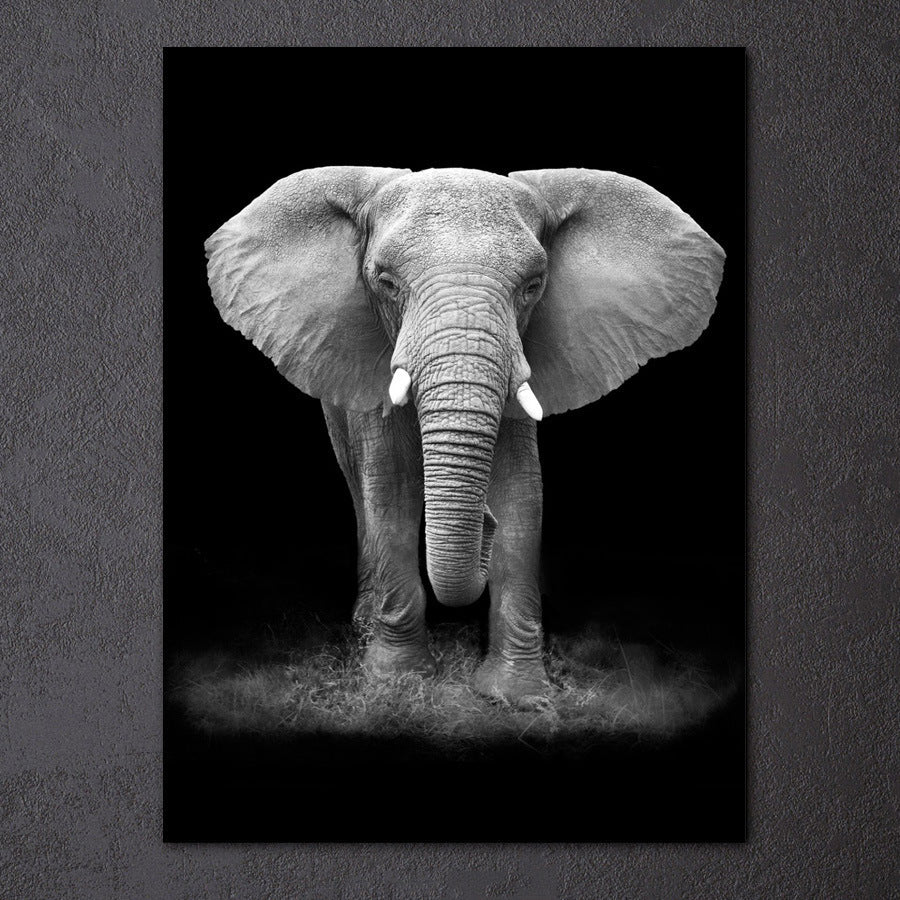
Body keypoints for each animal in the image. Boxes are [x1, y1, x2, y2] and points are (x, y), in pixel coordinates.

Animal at [205, 166, 725, 706]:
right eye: (385, 283)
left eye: (533, 286)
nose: (483, 525)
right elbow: (390, 490)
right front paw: (398, 681)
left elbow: (521, 494)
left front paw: (517, 695)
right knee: (360, 487)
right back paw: (365, 628)